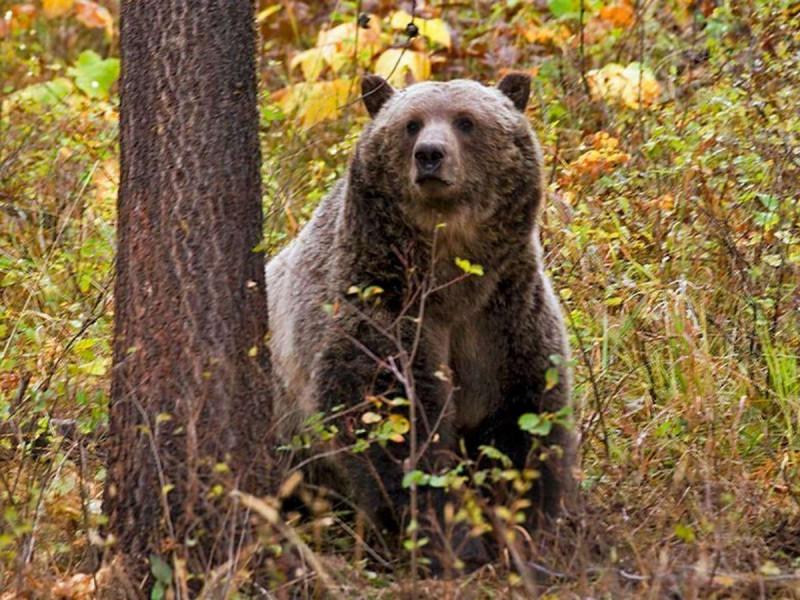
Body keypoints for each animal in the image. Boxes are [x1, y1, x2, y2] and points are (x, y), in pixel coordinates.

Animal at [266, 72, 576, 571]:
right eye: (411, 123)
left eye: (466, 121)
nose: (430, 154)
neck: (451, 277)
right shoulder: (381, 305)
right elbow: (394, 424)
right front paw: (451, 540)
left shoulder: (504, 317)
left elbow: (525, 419)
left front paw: (524, 527)